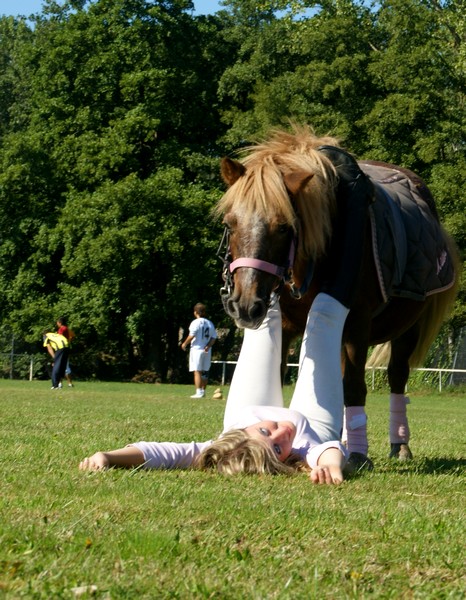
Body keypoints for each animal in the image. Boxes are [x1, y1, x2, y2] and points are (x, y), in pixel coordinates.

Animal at [216, 126, 458, 468]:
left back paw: (398, 445)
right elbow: (283, 374)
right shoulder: (287, 326)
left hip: (408, 328)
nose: (245, 305)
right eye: (230, 223)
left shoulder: (356, 324)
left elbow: (354, 386)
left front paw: (357, 454)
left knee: (397, 376)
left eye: (283, 227)